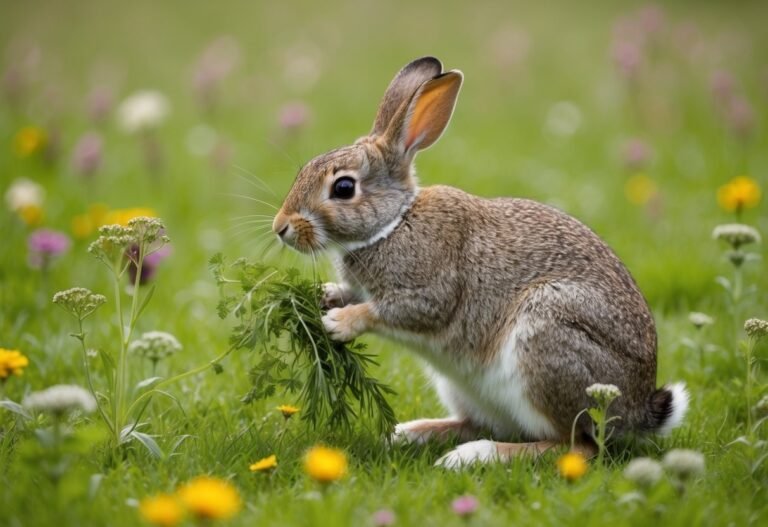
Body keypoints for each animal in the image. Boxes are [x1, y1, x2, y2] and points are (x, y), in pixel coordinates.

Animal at [272, 58, 688, 470]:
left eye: (343, 188)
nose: (281, 228)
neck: (394, 223)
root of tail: (636, 409)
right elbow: (352, 293)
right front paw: (324, 295)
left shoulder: (430, 292)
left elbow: (391, 311)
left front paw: (338, 323)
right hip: (463, 387)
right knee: (480, 423)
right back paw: (411, 433)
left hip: (548, 340)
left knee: (575, 447)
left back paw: (475, 455)